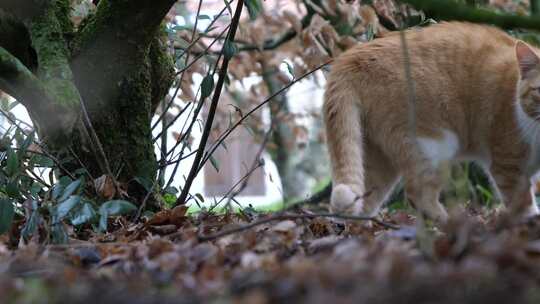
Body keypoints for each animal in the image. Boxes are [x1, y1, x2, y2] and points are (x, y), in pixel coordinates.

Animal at [322, 21, 540, 221]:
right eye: (539, 90)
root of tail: (350, 57)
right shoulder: (508, 165)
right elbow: (523, 204)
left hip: (376, 158)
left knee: (362, 203)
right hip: (434, 144)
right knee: (419, 194)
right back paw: (449, 224)